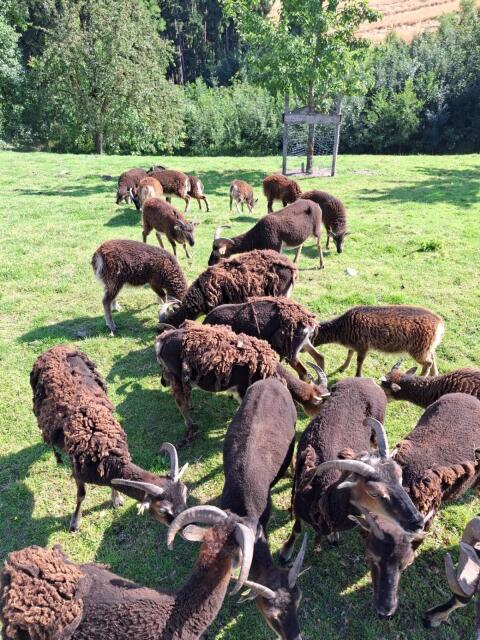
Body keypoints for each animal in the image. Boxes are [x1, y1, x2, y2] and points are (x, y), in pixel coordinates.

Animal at [30, 345, 189, 532]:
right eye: (163, 510)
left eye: (185, 493)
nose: (188, 524)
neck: (104, 452)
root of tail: (57, 346)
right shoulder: (78, 472)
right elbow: (81, 495)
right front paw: (74, 522)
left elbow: (113, 484)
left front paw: (116, 498)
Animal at [155, 321, 330, 446]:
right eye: (320, 406)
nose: (318, 421)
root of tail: (162, 341)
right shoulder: (243, 389)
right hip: (177, 376)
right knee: (180, 402)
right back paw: (192, 427)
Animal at [279, 378, 424, 564]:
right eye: (374, 493)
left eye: (400, 478)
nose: (418, 522)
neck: (324, 493)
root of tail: (365, 379)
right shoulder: (299, 499)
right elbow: (297, 528)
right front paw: (286, 552)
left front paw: (333, 536)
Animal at [312, 305, 445, 376]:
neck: (341, 331)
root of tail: (440, 324)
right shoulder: (354, 344)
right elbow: (350, 353)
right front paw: (343, 367)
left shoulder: (363, 345)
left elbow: (359, 361)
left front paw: (358, 375)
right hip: (426, 346)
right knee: (432, 357)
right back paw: (434, 374)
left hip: (418, 348)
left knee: (428, 363)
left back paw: (421, 377)